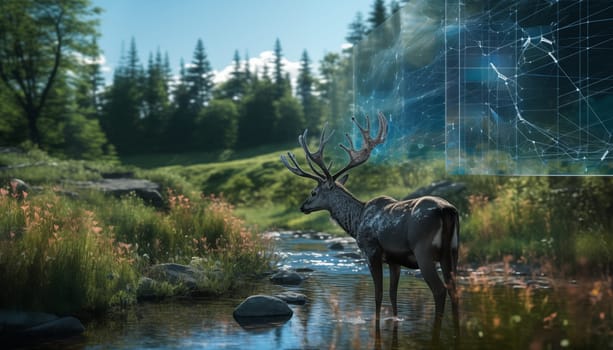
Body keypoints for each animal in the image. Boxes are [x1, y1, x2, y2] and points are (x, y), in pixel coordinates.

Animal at [280, 113, 456, 340]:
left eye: (313, 192)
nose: (303, 207)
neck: (356, 222)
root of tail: (446, 210)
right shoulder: (394, 260)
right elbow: (392, 294)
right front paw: (395, 320)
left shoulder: (371, 250)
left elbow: (378, 294)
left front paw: (376, 323)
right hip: (453, 250)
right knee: (454, 289)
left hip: (423, 250)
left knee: (440, 290)